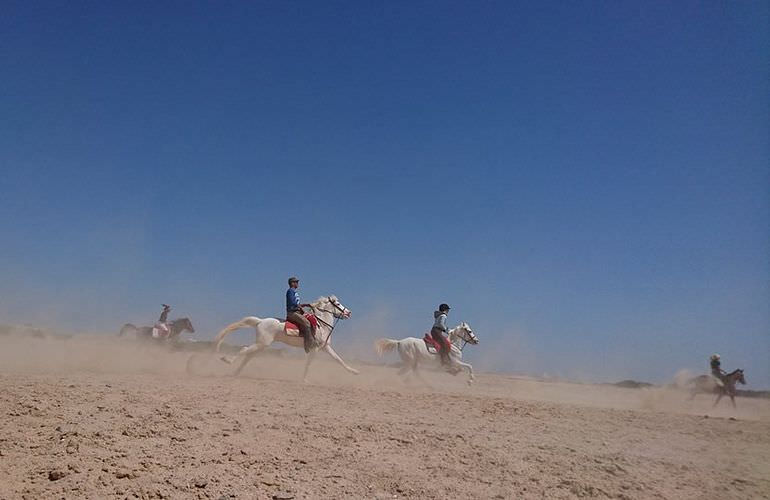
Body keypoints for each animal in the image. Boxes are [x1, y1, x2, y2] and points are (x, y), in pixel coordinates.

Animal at [210, 296, 354, 382]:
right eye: (338, 303)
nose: (349, 313)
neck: (321, 324)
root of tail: (260, 321)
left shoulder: (326, 347)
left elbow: (339, 360)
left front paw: (354, 371)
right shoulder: (315, 349)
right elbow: (308, 364)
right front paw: (304, 379)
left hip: (261, 345)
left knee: (248, 356)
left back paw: (236, 373)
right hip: (261, 344)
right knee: (244, 350)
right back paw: (228, 360)